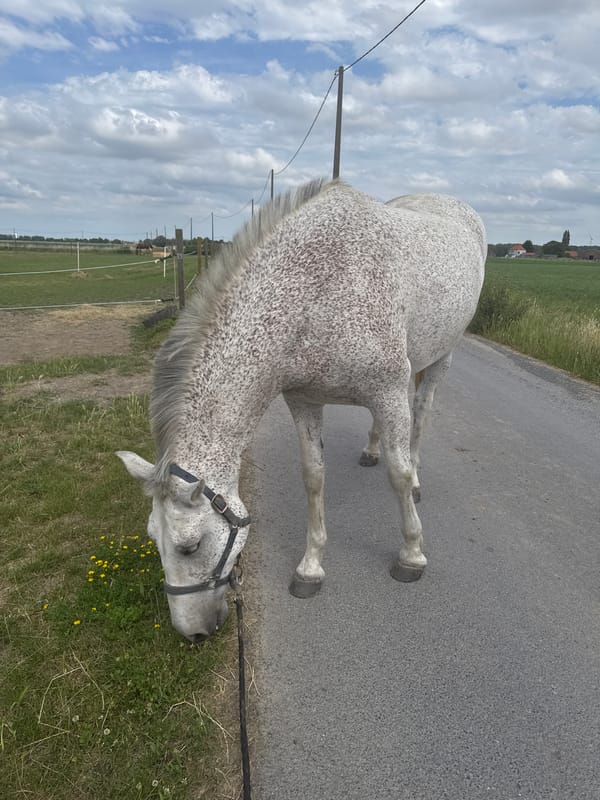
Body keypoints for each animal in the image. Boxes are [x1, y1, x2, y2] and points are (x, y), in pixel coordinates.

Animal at [117, 179, 486, 642]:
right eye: (152, 539)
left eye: (191, 546)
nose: (192, 634)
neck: (316, 291)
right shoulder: (305, 401)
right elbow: (313, 477)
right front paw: (310, 568)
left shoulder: (386, 392)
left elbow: (399, 476)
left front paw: (411, 554)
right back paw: (371, 450)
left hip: (441, 358)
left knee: (420, 414)